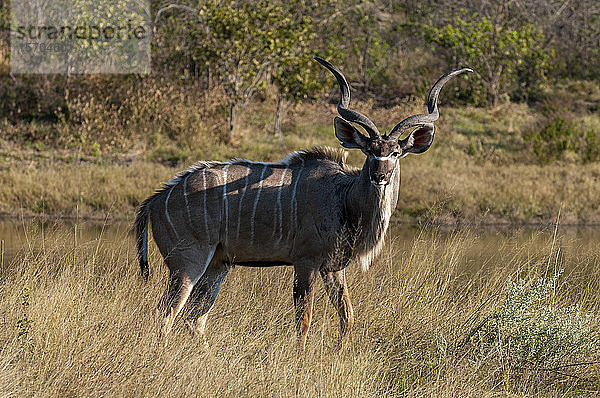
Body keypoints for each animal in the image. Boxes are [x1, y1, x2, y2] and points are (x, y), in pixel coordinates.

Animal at [136, 57, 474, 350]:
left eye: (395, 152)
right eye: (370, 151)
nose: (379, 176)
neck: (344, 197)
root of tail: (156, 200)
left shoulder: (333, 268)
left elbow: (347, 316)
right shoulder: (306, 261)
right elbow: (304, 320)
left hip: (219, 264)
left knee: (194, 318)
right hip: (188, 263)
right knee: (165, 315)